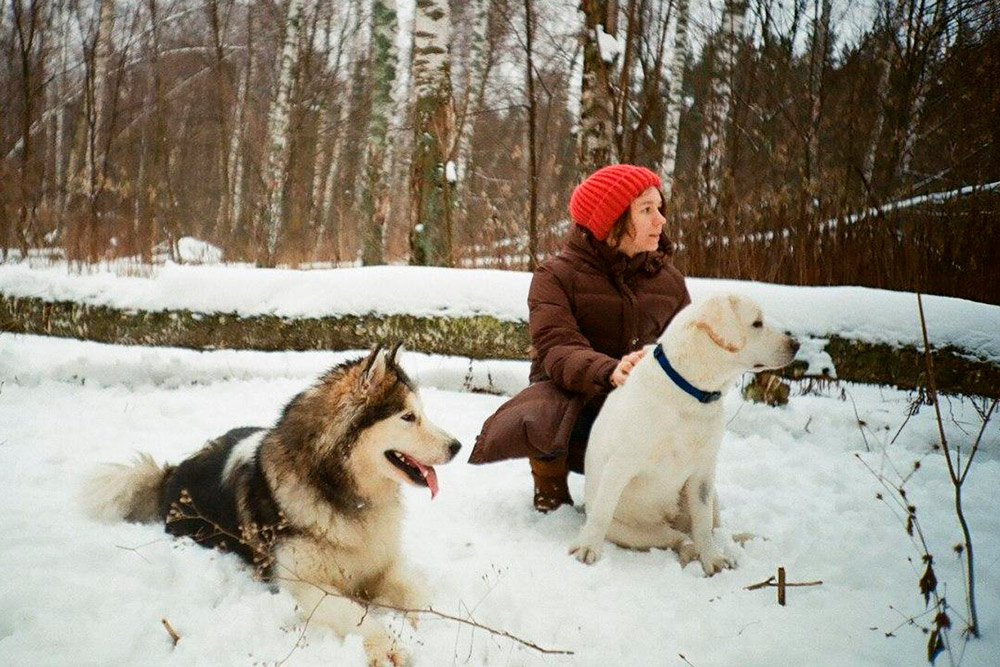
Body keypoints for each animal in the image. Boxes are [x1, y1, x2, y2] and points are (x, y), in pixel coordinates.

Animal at [572, 294, 796, 576]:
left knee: (712, 531)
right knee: (679, 538)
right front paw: (587, 548)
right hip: (631, 531)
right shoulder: (619, 464)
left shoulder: (703, 472)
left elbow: (703, 524)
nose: (796, 344)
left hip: (713, 496)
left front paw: (713, 559)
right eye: (757, 323)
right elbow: (601, 513)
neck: (692, 393)